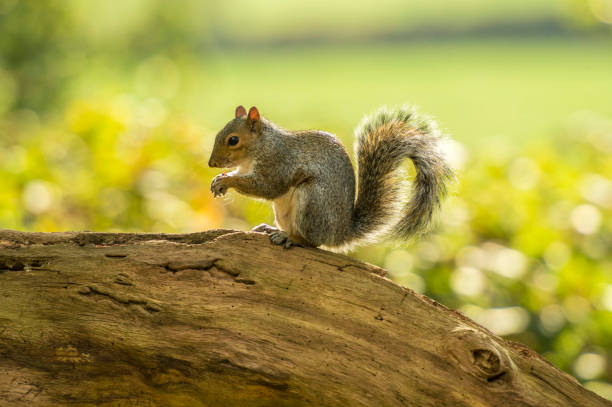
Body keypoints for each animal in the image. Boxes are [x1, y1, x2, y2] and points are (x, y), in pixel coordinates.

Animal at [208, 105, 452, 250]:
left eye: (233, 140)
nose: (211, 164)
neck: (260, 147)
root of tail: (340, 232)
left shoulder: (278, 163)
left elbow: (266, 187)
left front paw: (226, 181)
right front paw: (219, 179)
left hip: (312, 201)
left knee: (312, 242)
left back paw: (290, 238)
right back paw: (274, 230)